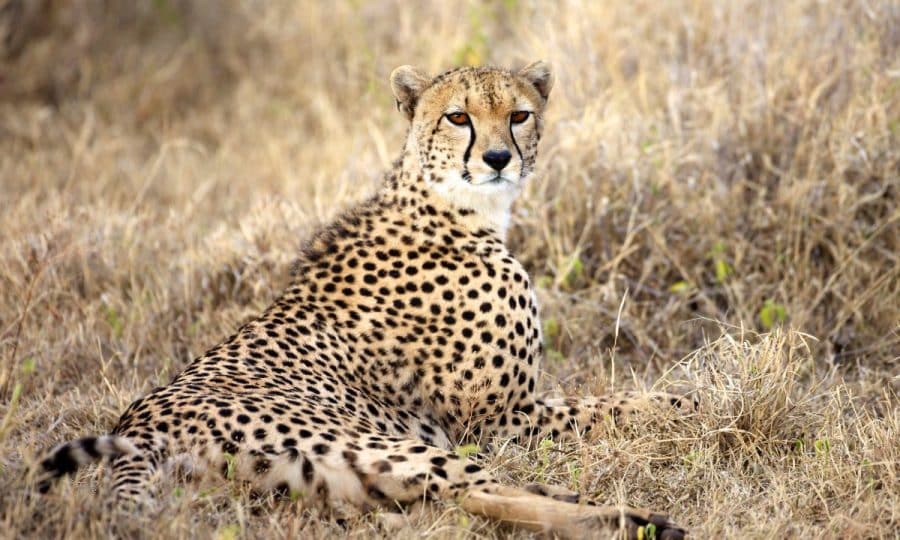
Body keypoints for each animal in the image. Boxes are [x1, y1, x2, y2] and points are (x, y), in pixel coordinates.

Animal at [36, 61, 690, 539]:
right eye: (458, 117)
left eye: (520, 114)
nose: (499, 158)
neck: (450, 205)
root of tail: (137, 423)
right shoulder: (499, 419)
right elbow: (618, 405)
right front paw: (684, 402)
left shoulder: (505, 415)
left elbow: (611, 403)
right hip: (376, 444)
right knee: (476, 489)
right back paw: (630, 520)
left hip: (332, 476)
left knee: (460, 500)